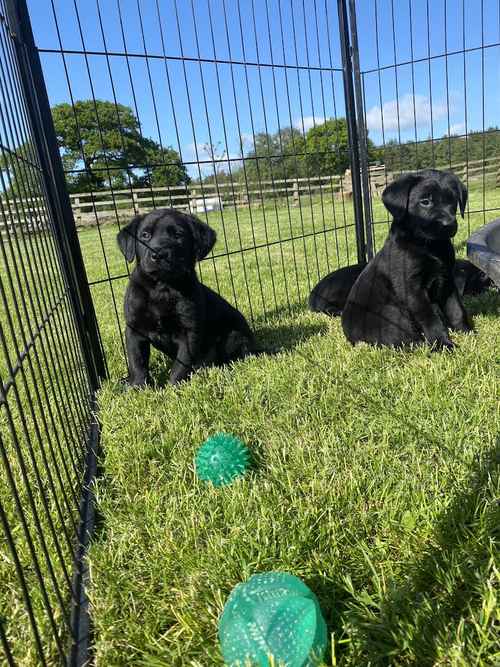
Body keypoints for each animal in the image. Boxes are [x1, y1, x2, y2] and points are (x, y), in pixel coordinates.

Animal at [117, 209, 256, 386]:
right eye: (145, 235)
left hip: (234, 335)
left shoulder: (189, 332)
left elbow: (181, 364)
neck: (162, 288)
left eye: (178, 235)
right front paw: (138, 386)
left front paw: (173, 387)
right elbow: (137, 362)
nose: (158, 254)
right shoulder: (134, 329)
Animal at [340, 170, 472, 352]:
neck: (429, 246)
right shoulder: (412, 290)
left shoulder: (447, 281)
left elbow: (456, 309)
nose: (449, 224)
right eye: (425, 202)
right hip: (391, 312)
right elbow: (431, 319)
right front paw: (442, 344)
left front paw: (467, 332)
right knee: (402, 339)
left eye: (453, 200)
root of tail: (349, 335)